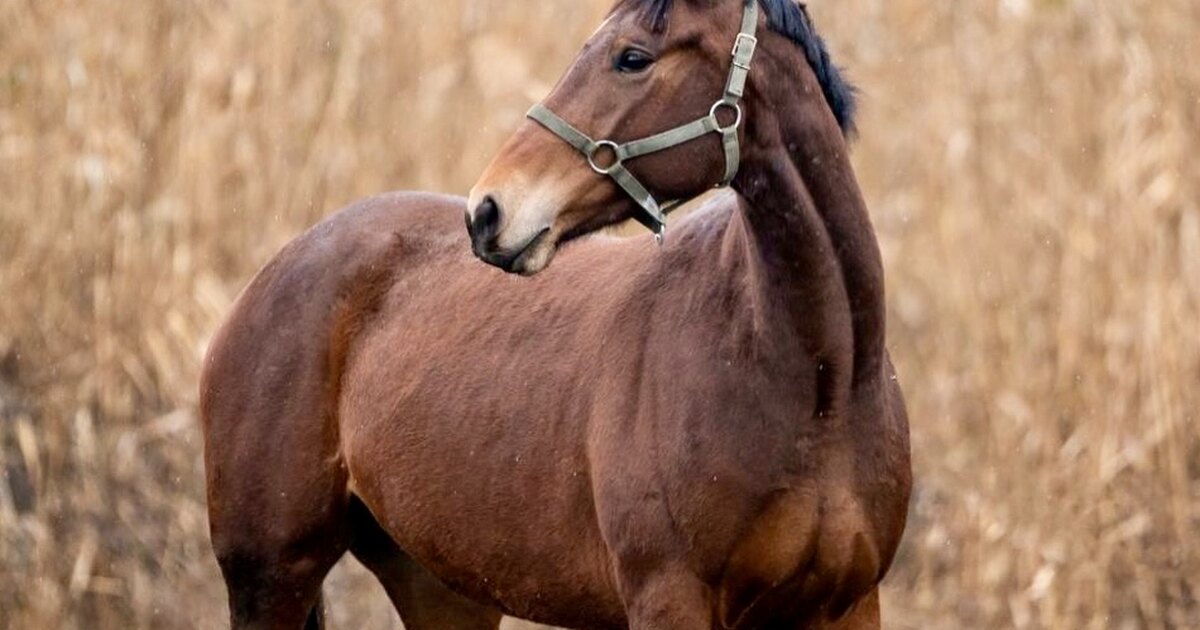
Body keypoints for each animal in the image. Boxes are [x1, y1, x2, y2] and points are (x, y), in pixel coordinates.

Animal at [199, 0, 912, 628]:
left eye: (632, 57)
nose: (488, 212)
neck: (815, 389)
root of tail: (274, 275)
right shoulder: (669, 600)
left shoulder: (847, 607)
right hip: (270, 579)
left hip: (443, 588)